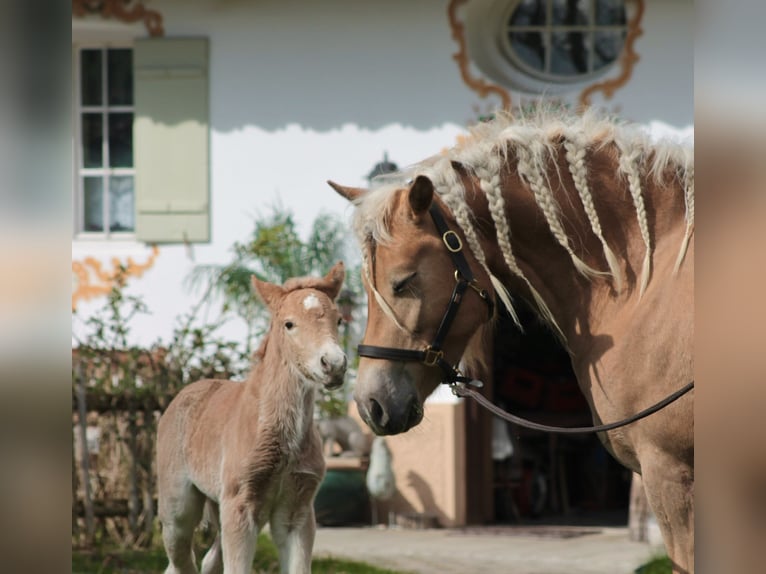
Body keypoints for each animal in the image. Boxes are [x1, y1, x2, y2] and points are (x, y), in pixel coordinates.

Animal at [157, 264, 348, 574]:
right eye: (289, 324)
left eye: (339, 320)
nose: (333, 364)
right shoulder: (240, 506)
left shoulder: (297, 512)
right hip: (178, 510)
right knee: (180, 560)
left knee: (210, 559)